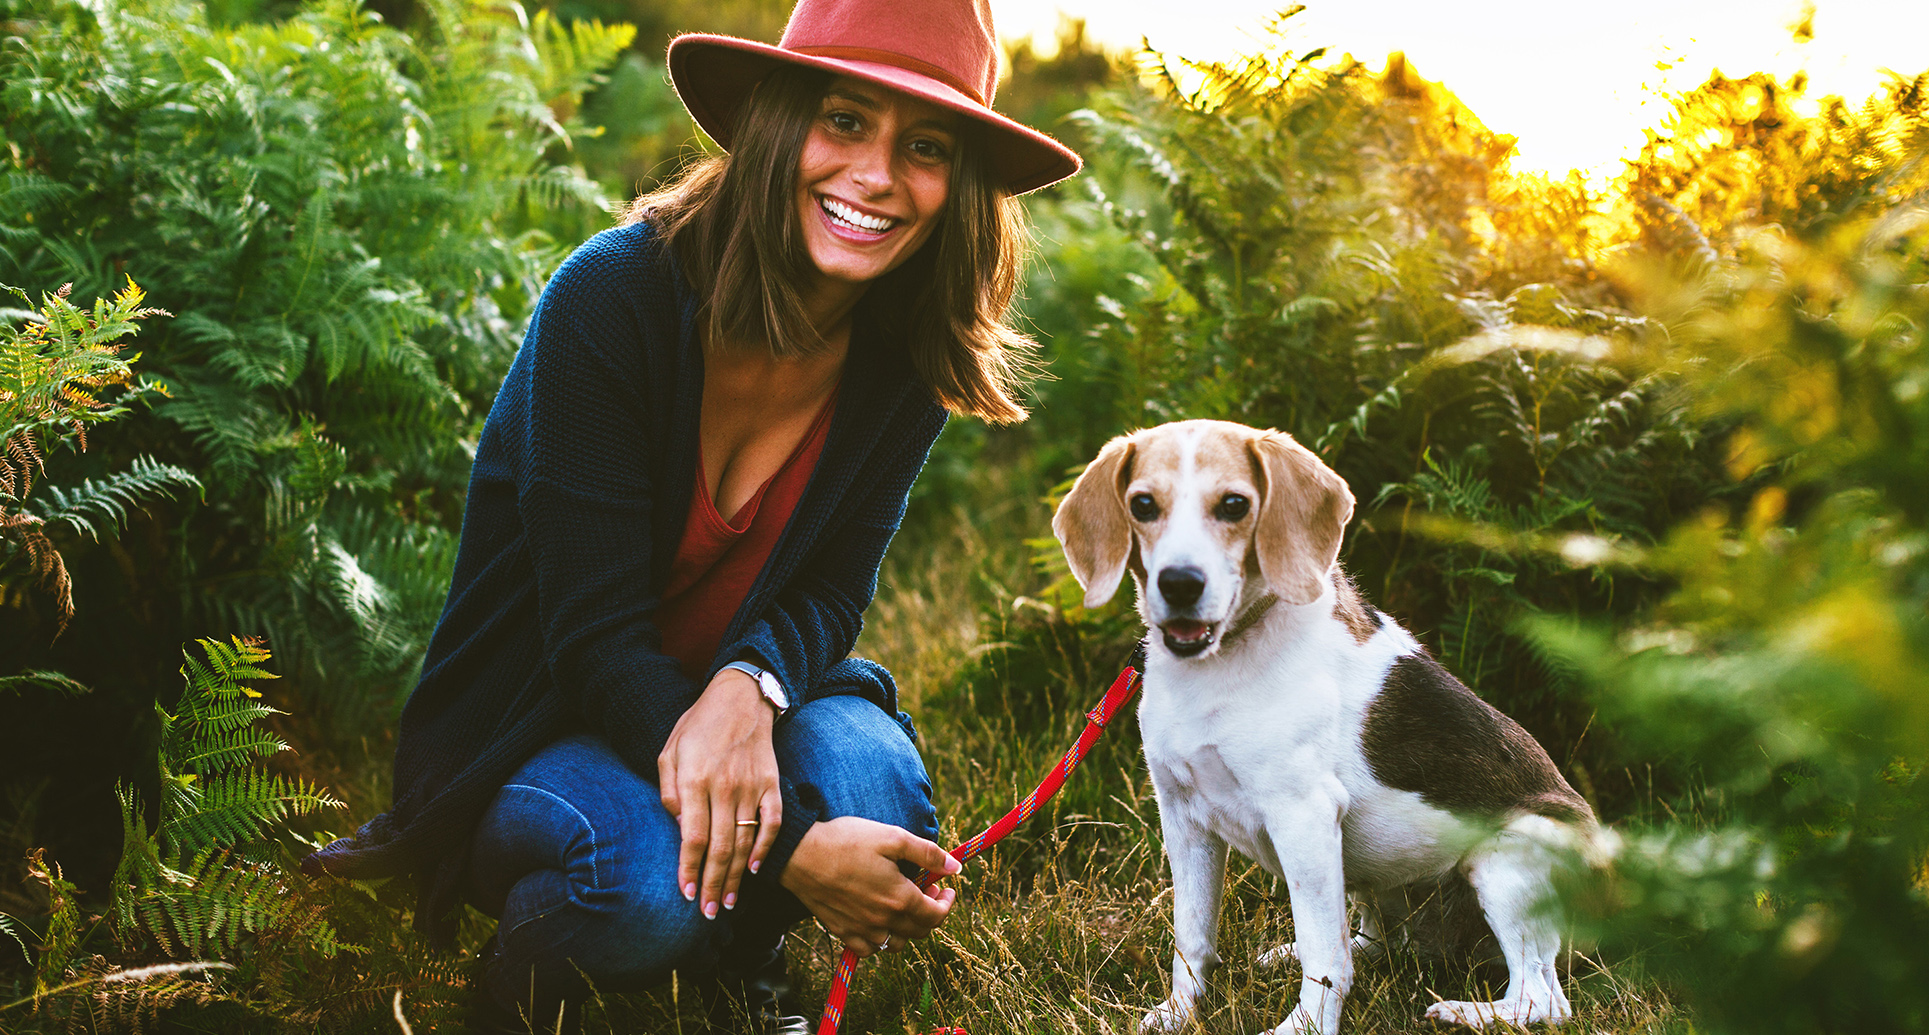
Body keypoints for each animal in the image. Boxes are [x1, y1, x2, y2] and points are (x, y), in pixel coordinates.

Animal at [1049, 416, 1604, 1025]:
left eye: (1235, 504)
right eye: (1143, 505)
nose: (1179, 584)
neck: (1218, 666)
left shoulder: (1303, 816)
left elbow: (1325, 958)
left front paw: (1304, 1028)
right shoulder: (1183, 816)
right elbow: (1192, 939)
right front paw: (1178, 1014)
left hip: (1507, 860)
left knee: (1541, 998)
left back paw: (1464, 1012)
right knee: (1376, 941)